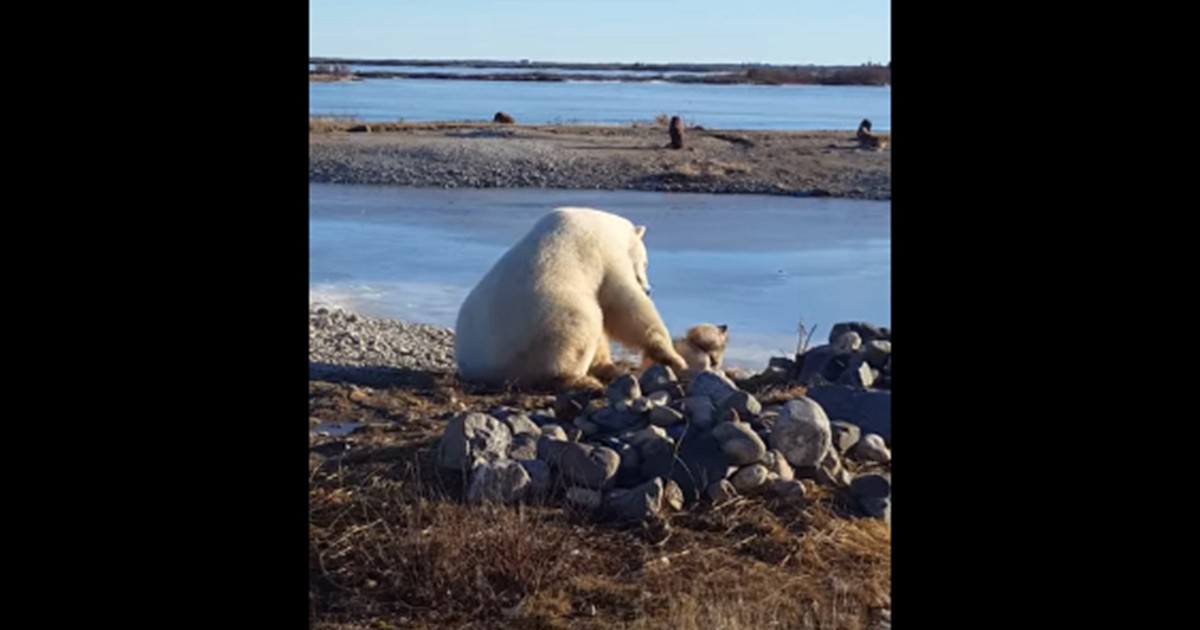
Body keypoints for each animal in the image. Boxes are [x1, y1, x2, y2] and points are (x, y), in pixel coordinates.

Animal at [454, 207, 689, 391]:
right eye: (647, 262)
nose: (648, 288)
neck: (606, 226)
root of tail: (483, 369)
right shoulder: (606, 256)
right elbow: (624, 305)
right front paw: (674, 357)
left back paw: (611, 369)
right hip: (544, 326)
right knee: (582, 325)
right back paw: (581, 380)